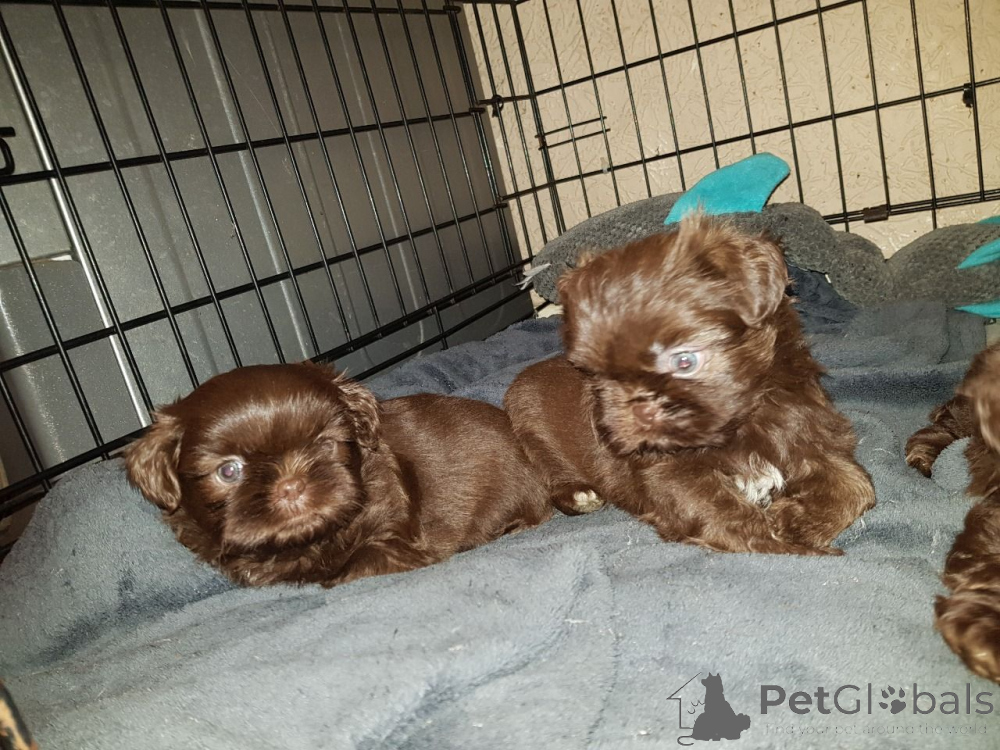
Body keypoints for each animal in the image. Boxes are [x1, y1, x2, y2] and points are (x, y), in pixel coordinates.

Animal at [505, 214, 875, 555]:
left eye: (684, 361)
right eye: (597, 372)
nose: (636, 413)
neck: (741, 426)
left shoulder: (810, 433)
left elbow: (856, 485)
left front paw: (795, 521)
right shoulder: (667, 473)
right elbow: (726, 516)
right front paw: (786, 542)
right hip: (530, 421)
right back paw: (579, 495)